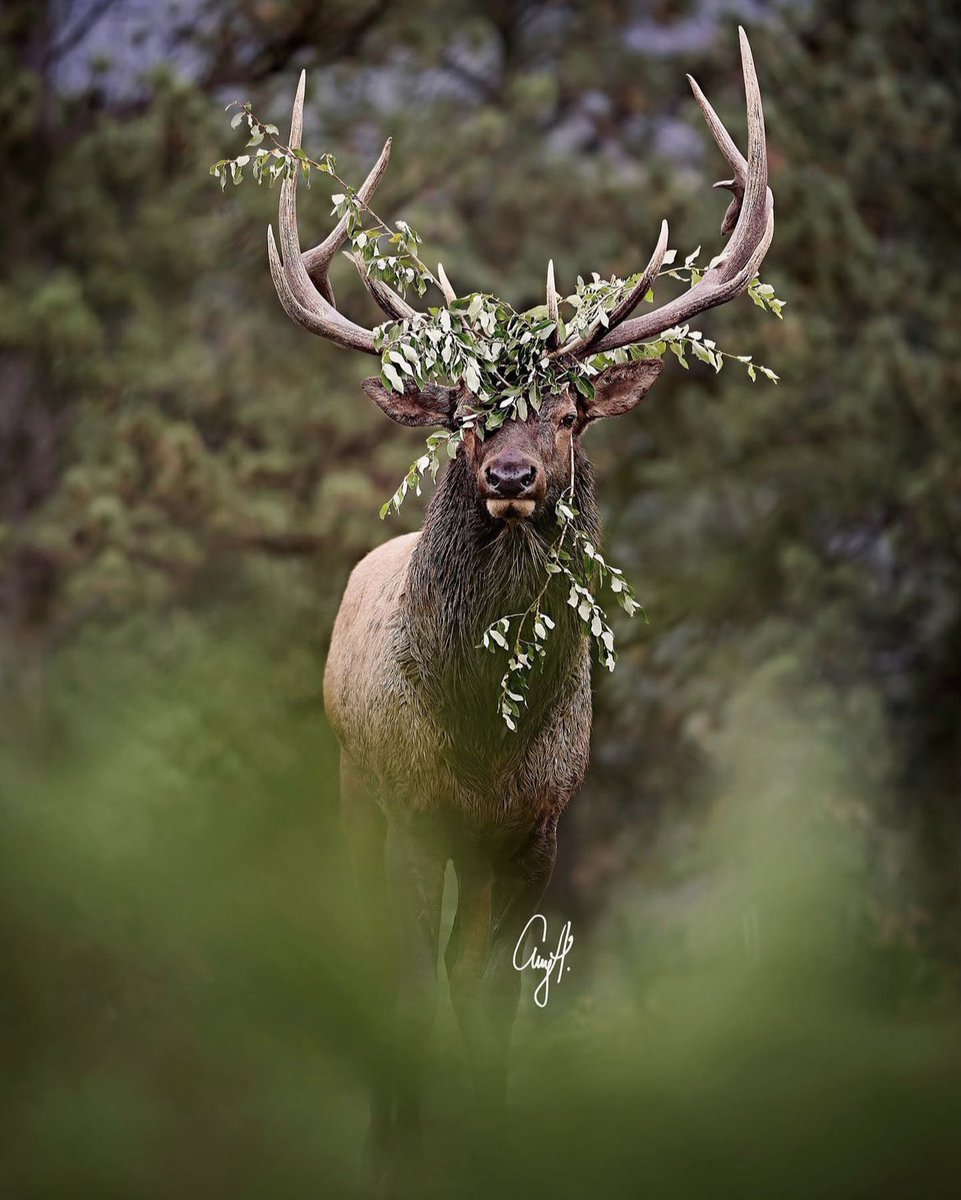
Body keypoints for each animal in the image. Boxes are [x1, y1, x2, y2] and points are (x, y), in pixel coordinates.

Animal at [264, 26, 773, 1180]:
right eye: (462, 414)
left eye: (571, 416)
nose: (508, 475)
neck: (480, 738)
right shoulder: (410, 804)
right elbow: (407, 984)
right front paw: (397, 1150)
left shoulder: (538, 826)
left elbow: (489, 999)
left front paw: (489, 1136)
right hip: (351, 783)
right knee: (381, 950)